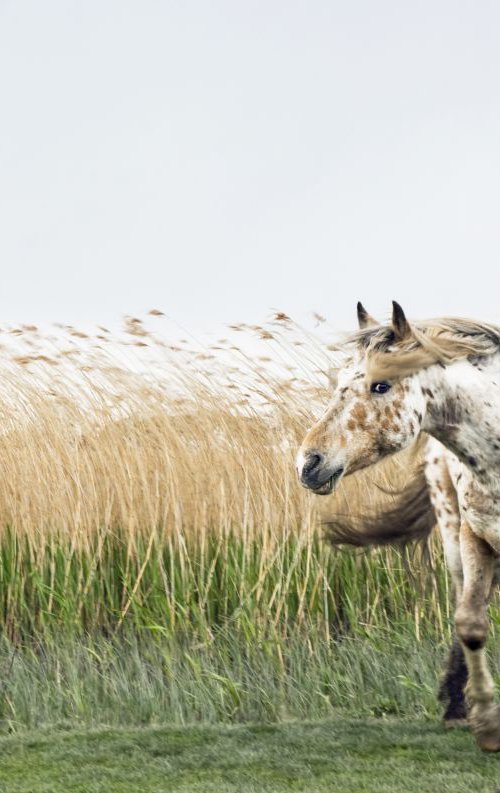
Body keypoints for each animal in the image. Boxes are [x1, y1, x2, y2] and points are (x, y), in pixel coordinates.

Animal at [296, 302, 500, 748]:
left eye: (381, 386)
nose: (307, 462)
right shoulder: (475, 536)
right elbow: (471, 623)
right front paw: (487, 725)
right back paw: (457, 706)